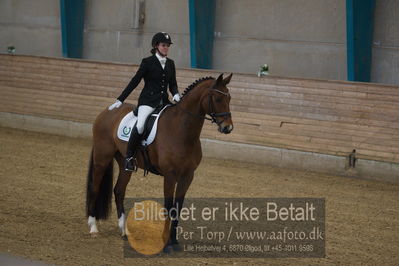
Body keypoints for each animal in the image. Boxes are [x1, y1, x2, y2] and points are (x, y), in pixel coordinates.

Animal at [86, 74, 233, 250]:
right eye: (218, 99)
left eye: (229, 98)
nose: (228, 128)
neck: (182, 131)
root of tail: (107, 112)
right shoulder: (170, 175)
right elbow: (169, 207)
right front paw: (166, 242)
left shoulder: (187, 176)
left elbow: (178, 207)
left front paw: (174, 241)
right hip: (102, 158)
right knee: (94, 187)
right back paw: (93, 228)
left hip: (125, 164)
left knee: (119, 190)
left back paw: (124, 231)